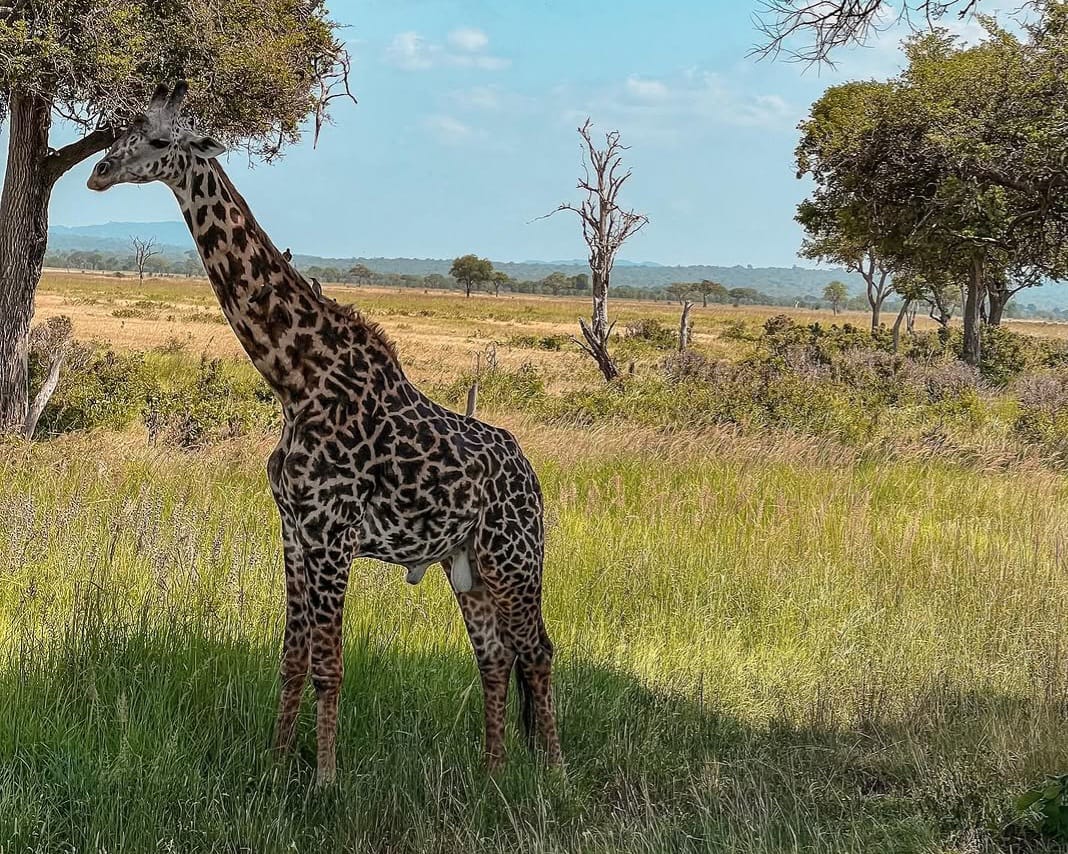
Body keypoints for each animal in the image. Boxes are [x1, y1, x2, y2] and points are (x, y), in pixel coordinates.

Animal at [87, 82, 562, 784]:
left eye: (158, 139)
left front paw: (324, 779)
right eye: (123, 127)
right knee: (496, 655)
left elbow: (329, 665)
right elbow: (292, 658)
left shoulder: (333, 532)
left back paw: (553, 771)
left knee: (539, 651)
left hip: (514, 558)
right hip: (466, 565)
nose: (97, 171)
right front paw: (277, 762)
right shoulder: (293, 527)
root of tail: (532, 478)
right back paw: (492, 770)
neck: (296, 377)